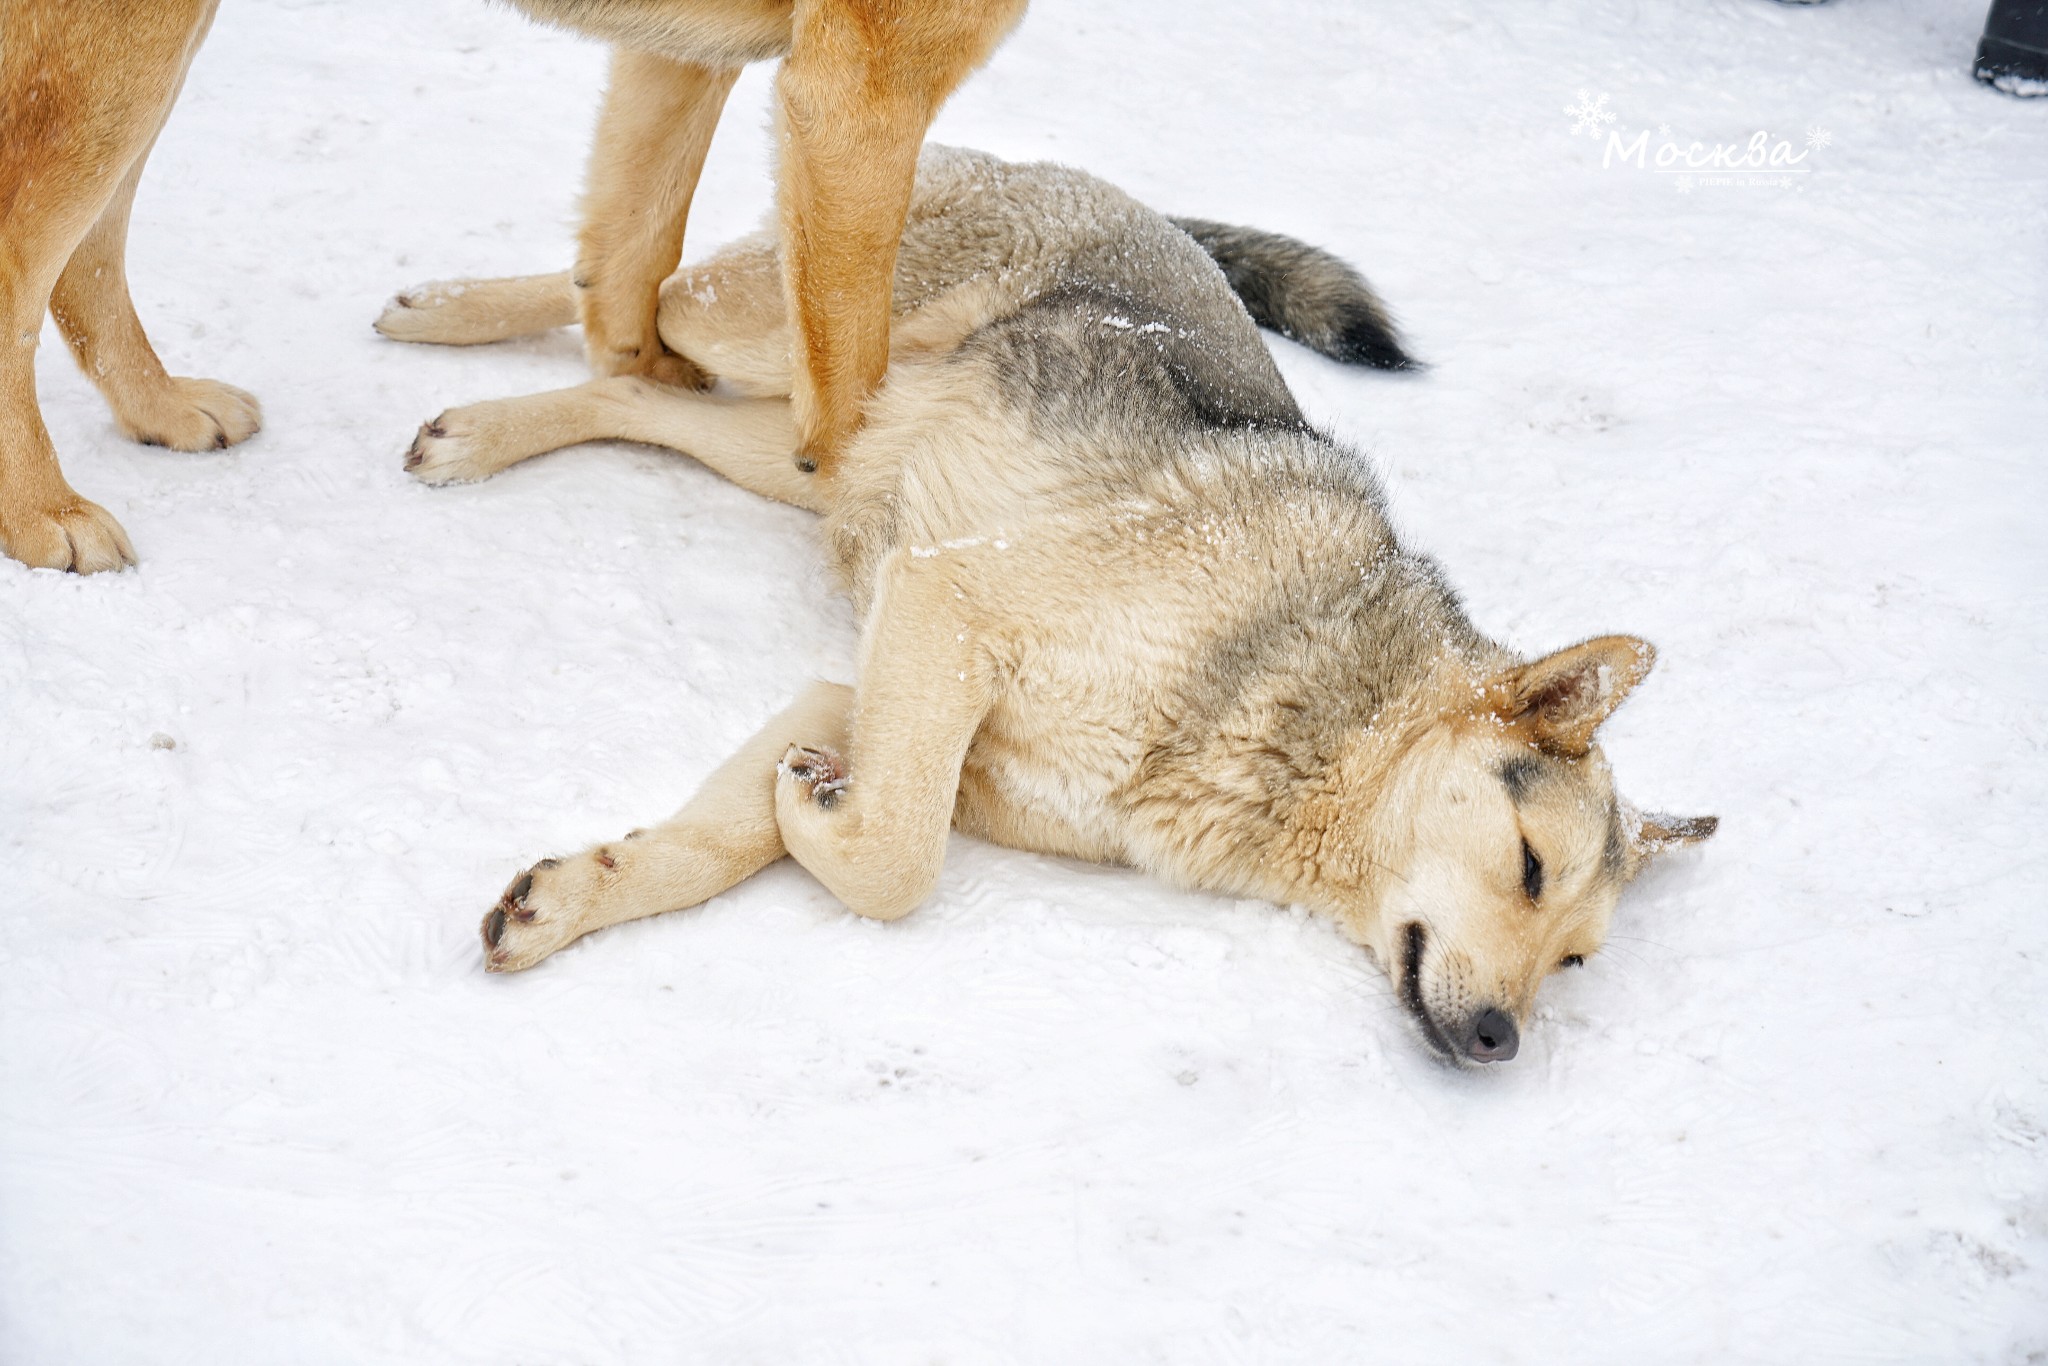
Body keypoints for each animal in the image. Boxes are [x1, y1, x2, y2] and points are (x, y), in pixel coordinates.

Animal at [0, 0, 1024, 573]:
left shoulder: (684, 52)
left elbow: (633, 255)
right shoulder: (861, 95)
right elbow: (854, 408)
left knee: (90, 248)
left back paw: (161, 408)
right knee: (23, 268)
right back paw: (41, 513)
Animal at [380, 149, 1712, 1064]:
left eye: (1573, 960)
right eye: (1529, 868)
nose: (1500, 1043)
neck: (1292, 721)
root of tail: (1130, 194)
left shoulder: (859, 682)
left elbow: (742, 844)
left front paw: (575, 898)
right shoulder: (939, 600)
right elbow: (895, 867)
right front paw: (807, 815)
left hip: (806, 454)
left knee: (636, 390)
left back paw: (480, 430)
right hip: (758, 331)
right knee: (632, 287)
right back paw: (440, 309)